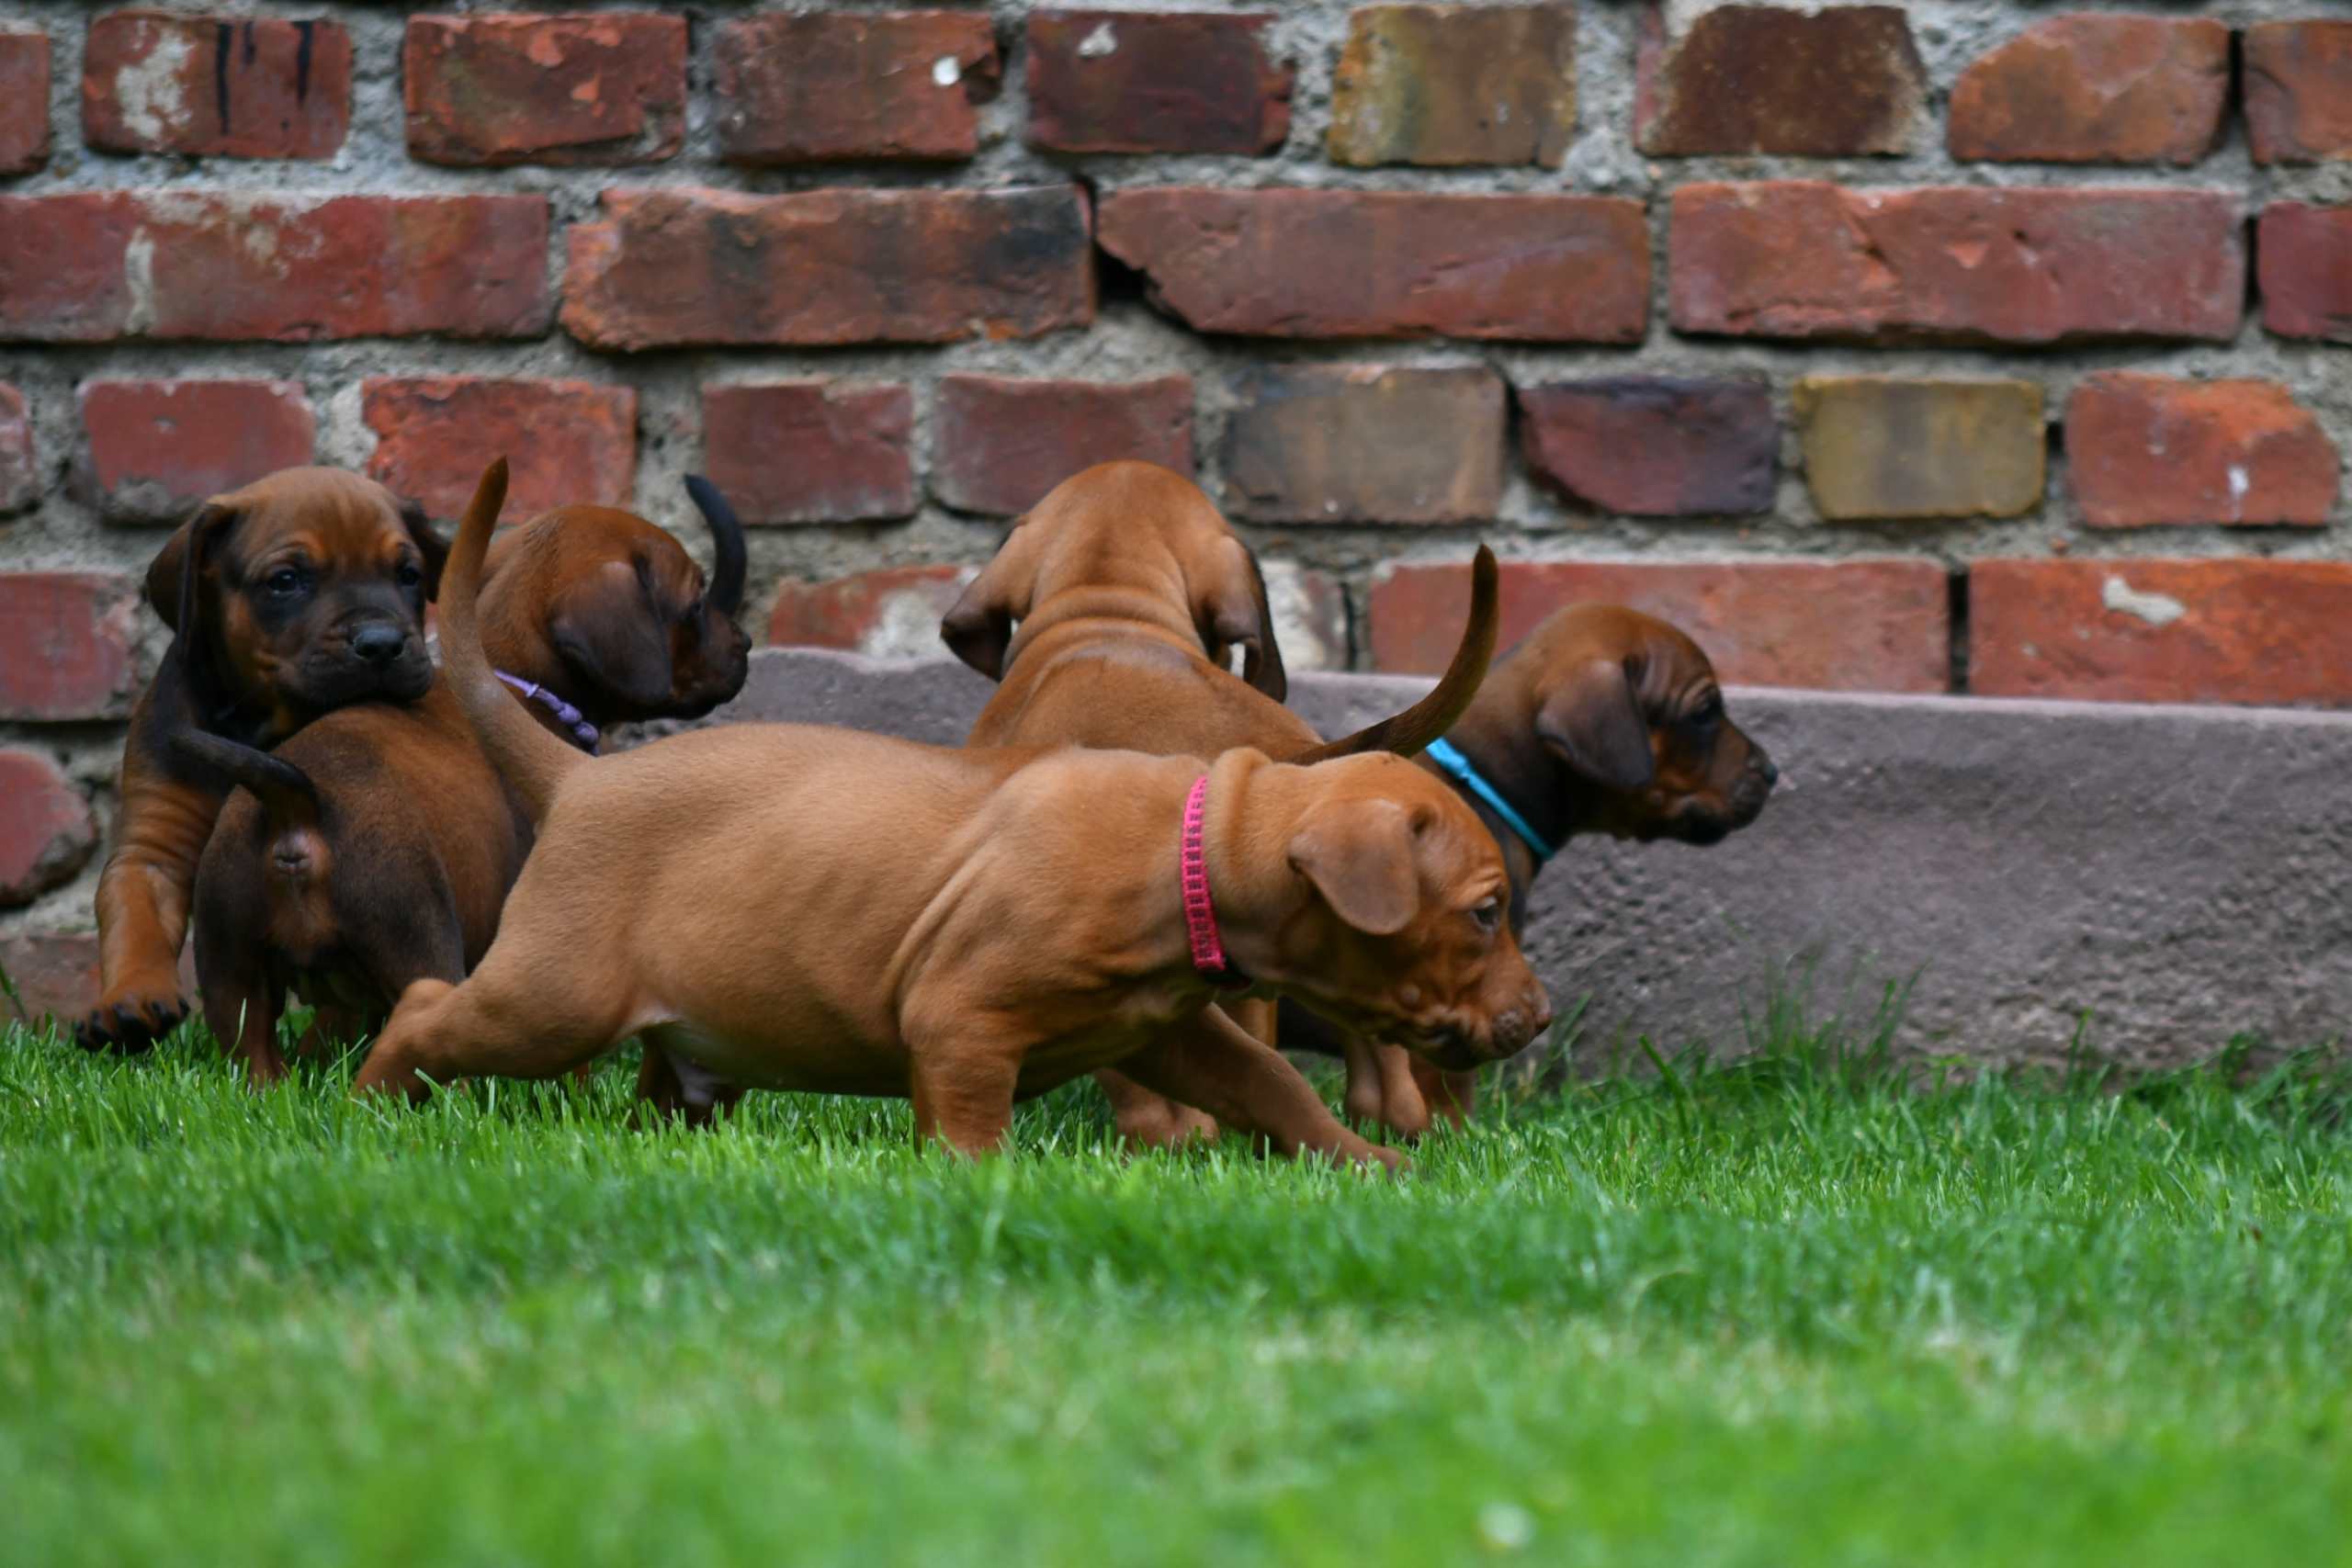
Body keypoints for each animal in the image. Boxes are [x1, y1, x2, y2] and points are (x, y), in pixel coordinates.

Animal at [78, 468, 449, 1054]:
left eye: (409, 574)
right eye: (286, 580)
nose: (383, 643)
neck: (260, 731)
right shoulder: (153, 844)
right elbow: (134, 918)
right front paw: (130, 999)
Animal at [171, 479, 752, 1083]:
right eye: (695, 604)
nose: (747, 645)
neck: (512, 678)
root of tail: (296, 806)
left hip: (231, 972)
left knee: (255, 1057)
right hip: (417, 939)